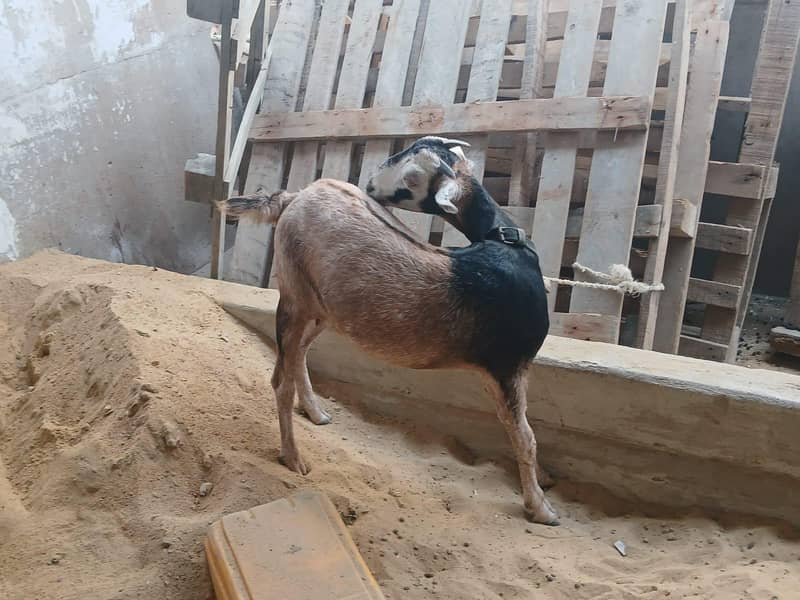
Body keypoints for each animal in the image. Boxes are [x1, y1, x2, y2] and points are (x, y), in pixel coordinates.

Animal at [218, 136, 556, 524]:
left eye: (410, 179)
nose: (369, 185)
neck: (505, 244)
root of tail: (293, 198)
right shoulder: (508, 366)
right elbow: (525, 436)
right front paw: (540, 507)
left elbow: (523, 431)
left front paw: (544, 482)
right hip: (294, 296)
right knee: (280, 381)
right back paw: (293, 458)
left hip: (321, 306)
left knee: (298, 353)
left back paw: (316, 412)